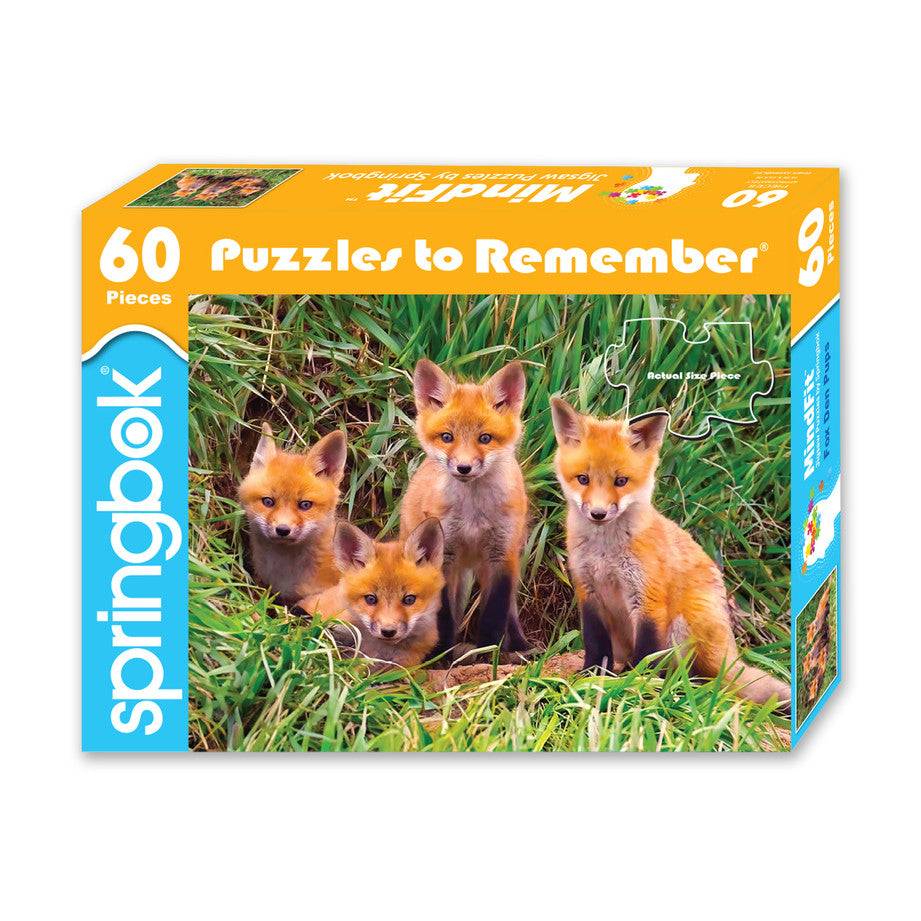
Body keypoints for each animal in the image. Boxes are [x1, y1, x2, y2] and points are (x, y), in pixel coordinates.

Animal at [399, 358, 530, 658]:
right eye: (447, 437)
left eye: (485, 438)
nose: (463, 467)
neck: (474, 512)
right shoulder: (444, 555)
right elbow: (444, 616)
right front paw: (439, 656)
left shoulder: (501, 555)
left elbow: (494, 614)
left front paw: (489, 653)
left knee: (511, 610)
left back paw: (521, 646)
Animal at [551, 398, 791, 710]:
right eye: (583, 479)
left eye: (621, 481)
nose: (598, 514)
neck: (605, 553)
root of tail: (729, 653)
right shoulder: (588, 592)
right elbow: (595, 645)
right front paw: (591, 676)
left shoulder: (648, 598)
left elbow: (646, 654)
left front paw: (636, 684)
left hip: (682, 625)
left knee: (694, 677)